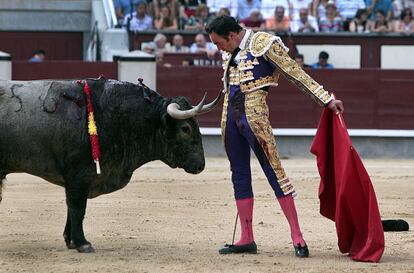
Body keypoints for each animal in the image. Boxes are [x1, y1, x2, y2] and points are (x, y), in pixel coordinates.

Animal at [0, 77, 213, 252]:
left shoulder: (77, 181)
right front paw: (83, 244)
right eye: (185, 128)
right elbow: (77, 209)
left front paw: (71, 241)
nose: (201, 165)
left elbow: (72, 209)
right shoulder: (78, 177)